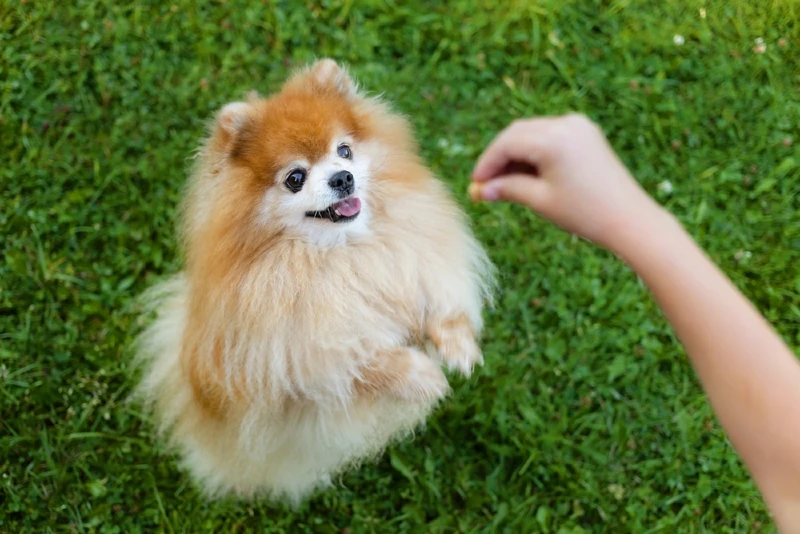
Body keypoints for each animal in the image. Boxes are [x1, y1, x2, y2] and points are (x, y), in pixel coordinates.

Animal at [131, 59, 494, 506]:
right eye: (295, 178)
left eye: (344, 151)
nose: (343, 178)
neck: (341, 253)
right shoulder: (300, 356)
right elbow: (361, 362)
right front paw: (423, 377)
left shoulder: (419, 263)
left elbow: (440, 303)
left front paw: (459, 346)